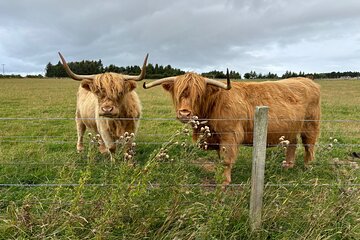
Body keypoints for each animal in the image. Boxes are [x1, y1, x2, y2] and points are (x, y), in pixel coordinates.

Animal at [143, 71, 320, 186]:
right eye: (179, 93)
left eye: (198, 95)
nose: (184, 113)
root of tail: (308, 81)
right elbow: (220, 158)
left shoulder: (229, 135)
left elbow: (226, 159)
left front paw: (225, 182)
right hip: (291, 128)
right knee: (293, 143)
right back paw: (288, 165)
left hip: (310, 125)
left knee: (309, 146)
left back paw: (308, 166)